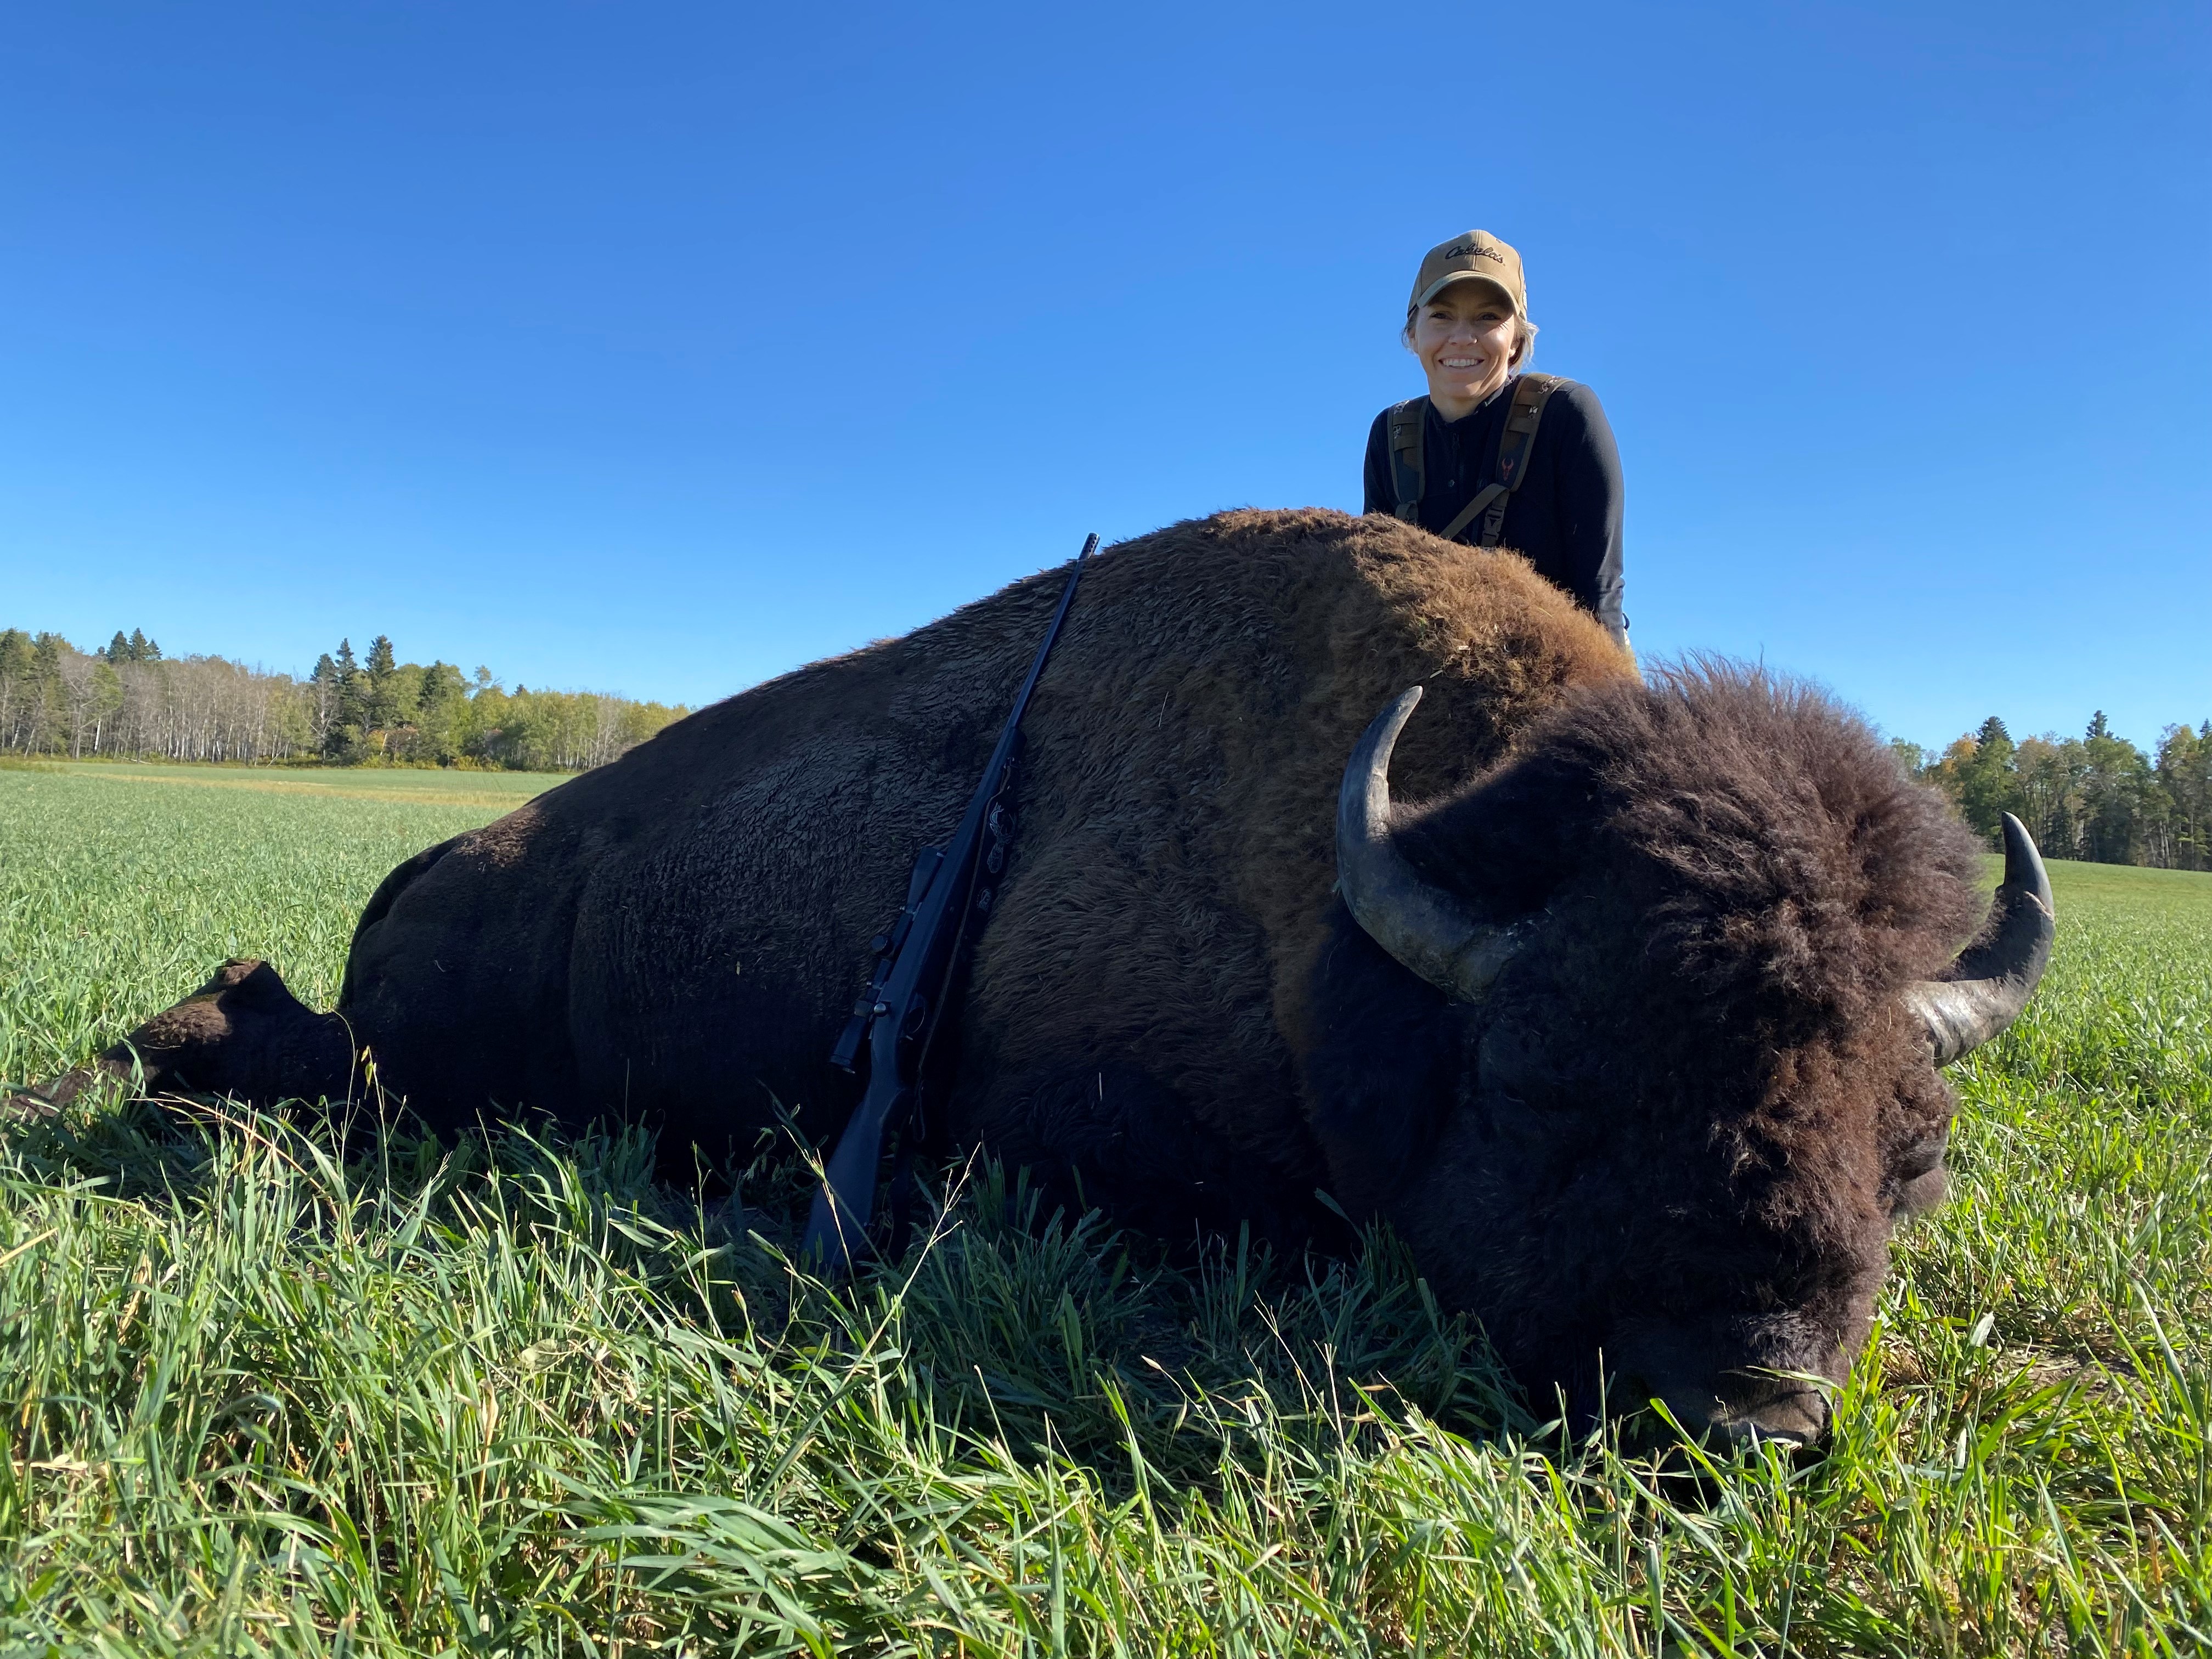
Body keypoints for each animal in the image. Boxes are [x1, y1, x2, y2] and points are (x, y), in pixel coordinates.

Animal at [37, 509, 2052, 1445]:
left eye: (1919, 1152)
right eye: (1552, 1079)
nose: (1757, 1407)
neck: (1354, 909)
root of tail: (414, 870)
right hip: (427, 1071)